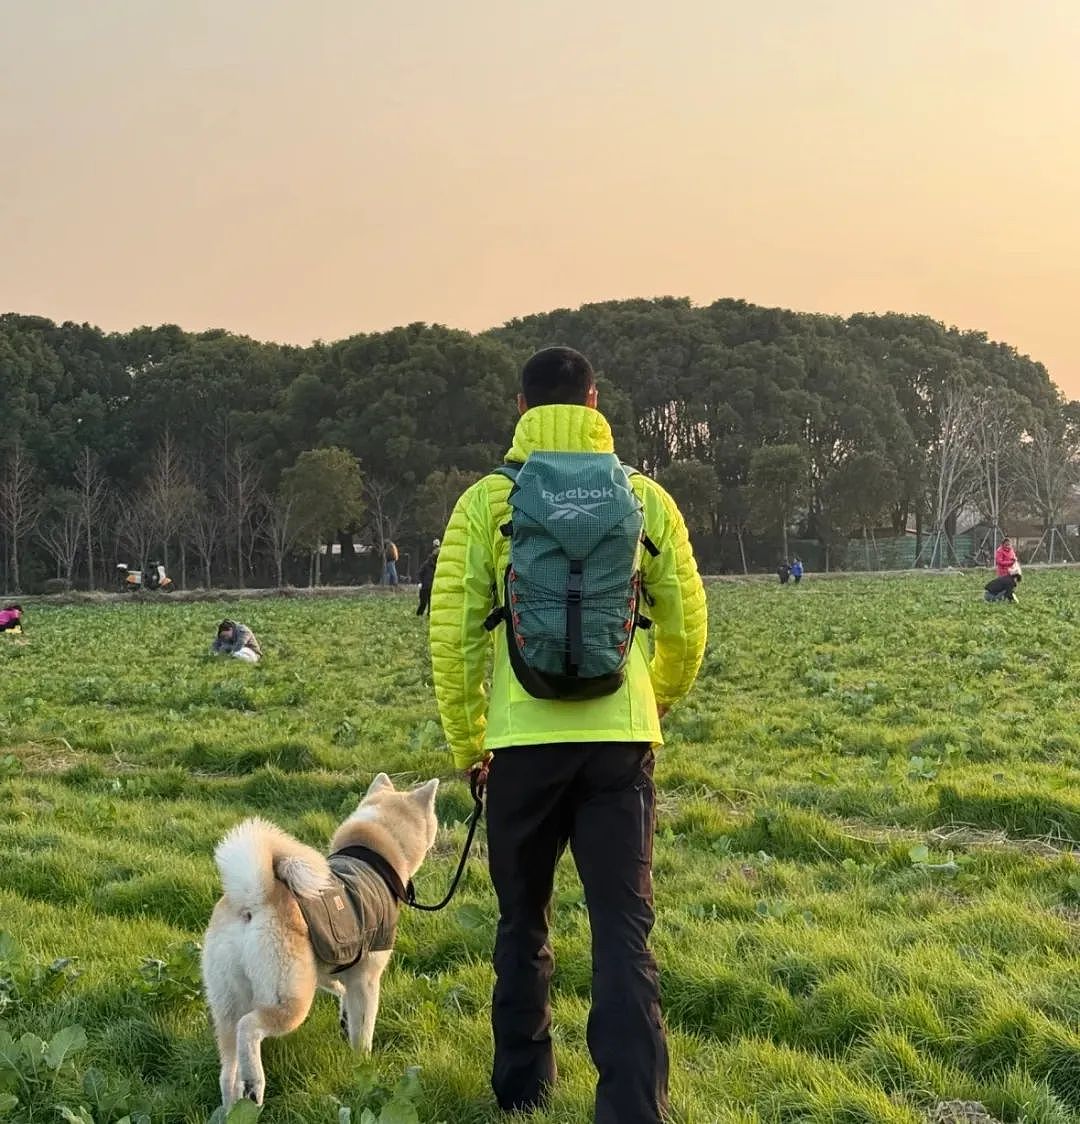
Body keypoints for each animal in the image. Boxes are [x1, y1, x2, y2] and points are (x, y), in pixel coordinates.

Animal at [202, 773, 438, 1106]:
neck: (373, 858)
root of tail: (253, 898)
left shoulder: (327, 965)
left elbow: (341, 992)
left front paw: (344, 1017)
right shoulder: (367, 978)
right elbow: (364, 1028)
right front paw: (363, 1065)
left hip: (227, 1004)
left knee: (227, 1070)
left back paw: (233, 1106)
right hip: (290, 999)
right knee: (250, 1027)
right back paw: (255, 1083)